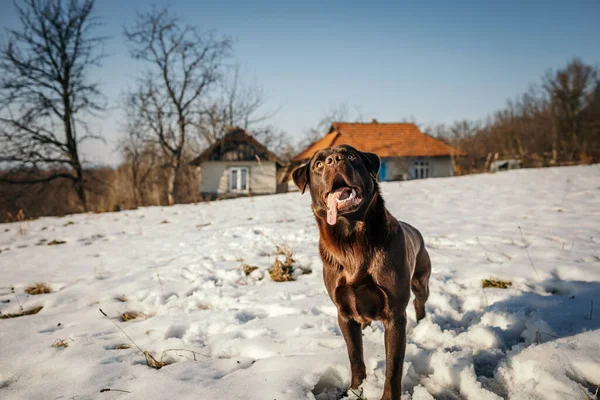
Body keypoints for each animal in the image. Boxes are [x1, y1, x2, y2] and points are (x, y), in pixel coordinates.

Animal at [292, 145, 428, 398]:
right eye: (318, 164)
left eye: (351, 155)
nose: (335, 160)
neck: (351, 240)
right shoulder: (344, 312)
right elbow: (355, 356)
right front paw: (356, 390)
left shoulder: (395, 316)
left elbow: (393, 368)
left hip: (421, 281)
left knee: (420, 302)